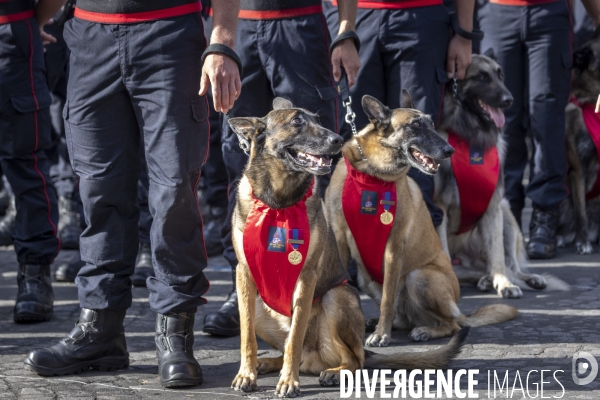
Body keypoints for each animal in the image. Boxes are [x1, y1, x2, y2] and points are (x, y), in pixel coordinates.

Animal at [229, 97, 468, 396]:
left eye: (318, 120)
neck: (278, 203)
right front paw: (246, 374)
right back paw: (271, 363)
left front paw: (289, 381)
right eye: (297, 122)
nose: (336, 139)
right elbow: (247, 336)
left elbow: (295, 336)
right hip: (265, 305)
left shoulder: (312, 275)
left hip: (349, 293)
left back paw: (337, 370)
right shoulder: (244, 274)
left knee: (355, 358)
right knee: (293, 350)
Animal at [328, 88, 516, 346]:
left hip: (419, 277)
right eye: (415, 125)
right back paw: (376, 322)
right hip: (368, 279)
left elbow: (388, 298)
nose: (450, 151)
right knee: (404, 319)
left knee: (452, 325)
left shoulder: (393, 248)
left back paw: (424, 330)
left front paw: (381, 334)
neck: (371, 175)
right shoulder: (339, 241)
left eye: (432, 124)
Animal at [434, 54, 568, 296]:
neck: (471, 137)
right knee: (465, 271)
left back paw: (518, 278)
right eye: (482, 77)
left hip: (506, 213)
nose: (509, 100)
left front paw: (504, 284)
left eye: (501, 75)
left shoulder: (492, 207)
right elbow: (445, 256)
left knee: (509, 265)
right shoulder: (440, 209)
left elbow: (498, 256)